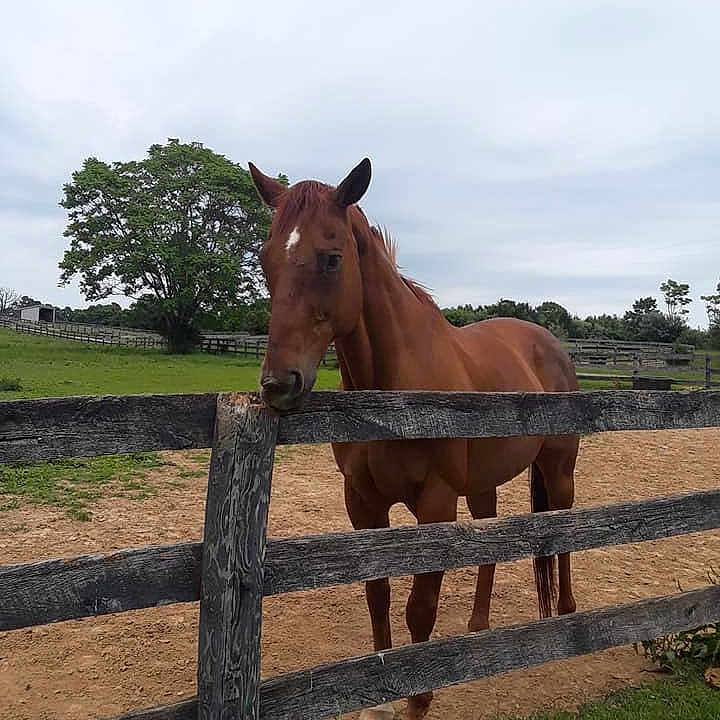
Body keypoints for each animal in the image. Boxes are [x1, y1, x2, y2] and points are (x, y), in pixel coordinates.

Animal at [249, 158, 579, 720]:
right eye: (267, 260)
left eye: (332, 259)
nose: (278, 384)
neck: (396, 399)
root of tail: (550, 342)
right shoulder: (362, 503)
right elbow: (378, 594)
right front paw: (381, 696)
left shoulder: (435, 502)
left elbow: (419, 607)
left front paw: (418, 697)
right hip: (483, 483)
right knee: (490, 538)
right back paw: (477, 628)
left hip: (558, 472)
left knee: (567, 532)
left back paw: (568, 616)